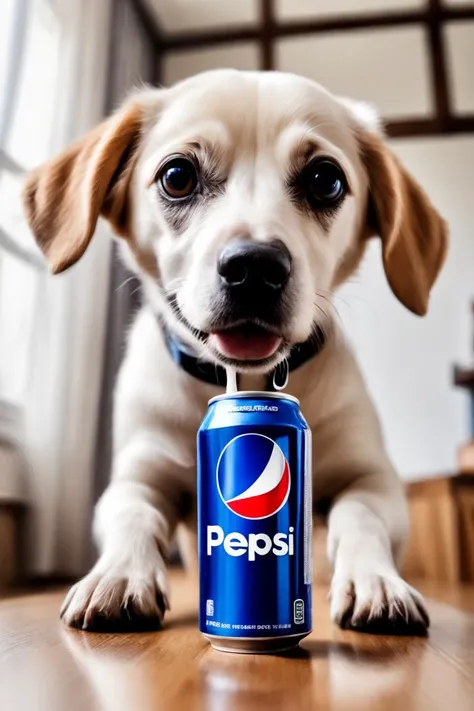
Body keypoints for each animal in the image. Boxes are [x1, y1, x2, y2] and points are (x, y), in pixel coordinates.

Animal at [23, 68, 448, 636]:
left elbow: (361, 516)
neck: (242, 383)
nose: (255, 267)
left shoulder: (373, 479)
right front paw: (118, 575)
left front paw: (375, 582)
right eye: (177, 176)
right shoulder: (138, 475)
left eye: (326, 180)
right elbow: (133, 514)